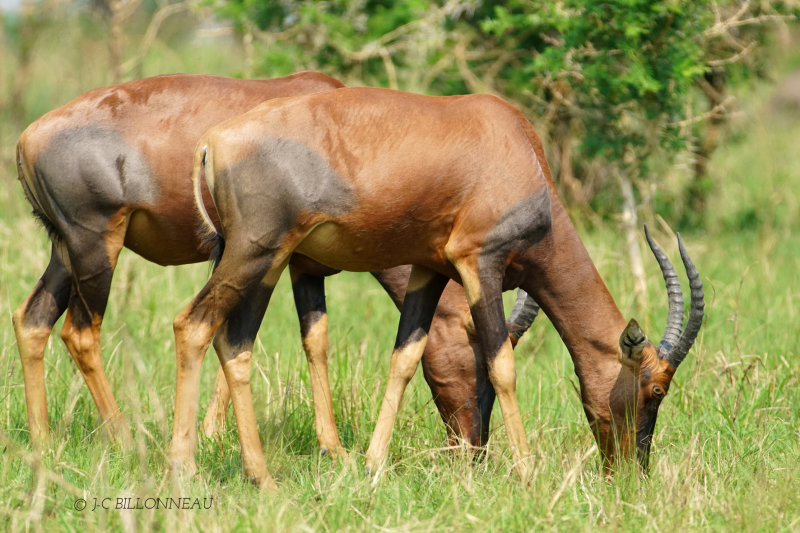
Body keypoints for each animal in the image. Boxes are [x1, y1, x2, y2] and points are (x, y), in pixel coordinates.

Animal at [12, 72, 536, 458]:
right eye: (474, 350)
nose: (473, 448)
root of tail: (27, 138)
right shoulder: (267, 253)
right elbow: (240, 334)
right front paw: (213, 438)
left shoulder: (294, 261)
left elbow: (310, 339)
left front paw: (329, 450)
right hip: (96, 244)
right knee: (80, 332)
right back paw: (123, 441)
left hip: (65, 251)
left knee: (32, 318)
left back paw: (42, 442)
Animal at [178, 86, 704, 486]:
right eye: (656, 389)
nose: (632, 476)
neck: (515, 147)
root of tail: (212, 142)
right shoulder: (480, 263)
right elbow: (502, 364)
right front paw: (527, 472)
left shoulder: (428, 269)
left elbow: (406, 356)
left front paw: (371, 465)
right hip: (255, 253)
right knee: (194, 326)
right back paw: (187, 470)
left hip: (268, 262)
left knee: (235, 343)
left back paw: (260, 476)